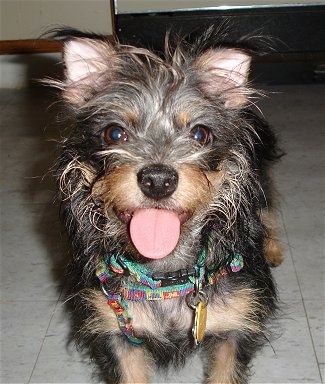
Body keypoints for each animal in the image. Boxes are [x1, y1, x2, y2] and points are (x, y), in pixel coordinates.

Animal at [48, 27, 280, 384]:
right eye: (114, 133)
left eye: (200, 134)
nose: (158, 180)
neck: (165, 275)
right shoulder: (116, 333)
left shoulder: (235, 328)